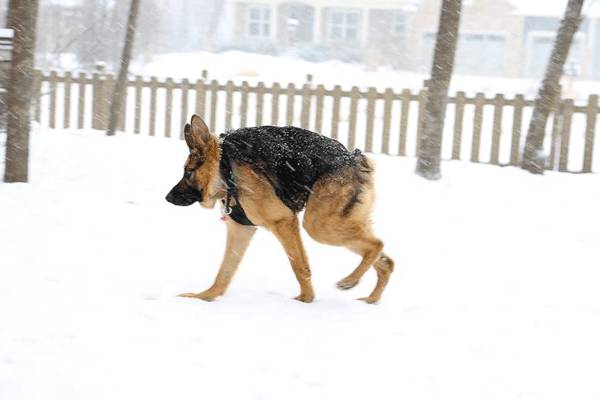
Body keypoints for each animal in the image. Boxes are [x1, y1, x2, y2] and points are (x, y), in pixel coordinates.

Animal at [166, 115, 396, 304]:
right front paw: (205, 296)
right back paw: (370, 299)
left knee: (377, 244)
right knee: (386, 261)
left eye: (187, 173)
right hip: (337, 224)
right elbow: (224, 271)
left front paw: (305, 299)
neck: (225, 168)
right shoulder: (241, 230)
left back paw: (350, 281)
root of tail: (354, 157)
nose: (167, 197)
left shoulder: (283, 221)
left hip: (319, 226)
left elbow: (299, 266)